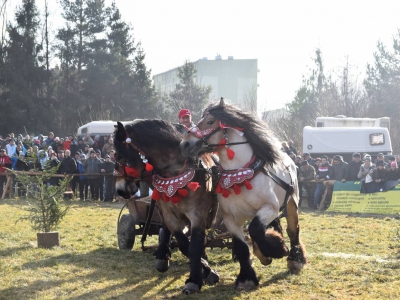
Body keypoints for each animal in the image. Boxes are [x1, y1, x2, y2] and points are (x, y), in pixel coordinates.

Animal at [112, 119, 219, 292]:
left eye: (118, 155)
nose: (120, 190)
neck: (175, 174)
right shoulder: (169, 213)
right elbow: (183, 244)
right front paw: (203, 271)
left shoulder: (198, 213)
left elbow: (195, 245)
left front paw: (197, 278)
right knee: (165, 229)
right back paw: (163, 256)